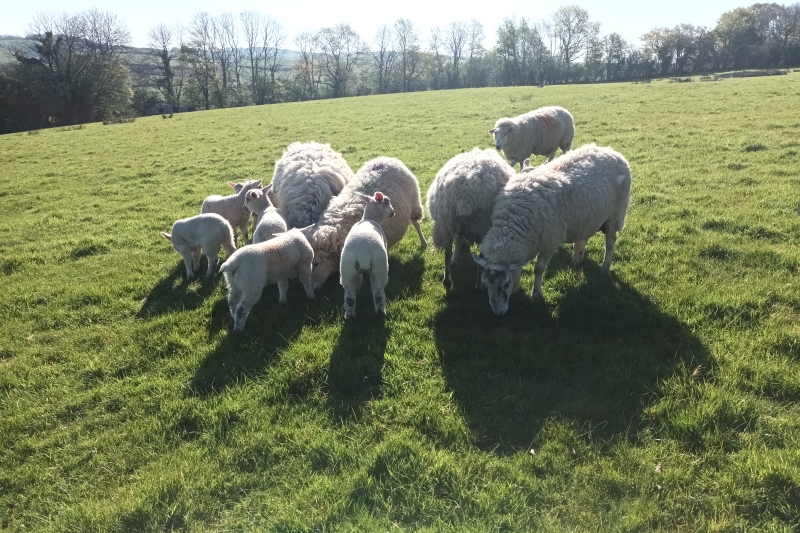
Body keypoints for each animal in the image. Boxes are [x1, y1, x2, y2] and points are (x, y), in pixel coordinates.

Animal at [302, 157, 428, 290]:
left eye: (316, 263)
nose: (311, 288)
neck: (337, 224)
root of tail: (387, 158)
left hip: (414, 203)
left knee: (416, 224)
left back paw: (423, 243)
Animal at [340, 190, 396, 318]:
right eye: (387, 202)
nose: (393, 212)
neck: (370, 218)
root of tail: (363, 252)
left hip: (347, 268)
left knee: (349, 296)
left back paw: (349, 316)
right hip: (380, 267)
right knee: (378, 293)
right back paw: (381, 313)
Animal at [424, 149, 512, 290]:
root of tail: (466, 192)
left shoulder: (460, 227)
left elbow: (459, 240)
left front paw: (455, 260)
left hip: (446, 223)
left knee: (447, 253)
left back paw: (447, 280)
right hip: (483, 226)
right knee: (481, 259)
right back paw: (478, 286)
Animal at [468, 143, 632, 314]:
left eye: (505, 284)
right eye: (485, 285)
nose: (498, 313)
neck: (514, 218)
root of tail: (611, 151)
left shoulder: (550, 242)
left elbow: (539, 269)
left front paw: (536, 294)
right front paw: (517, 287)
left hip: (615, 215)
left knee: (611, 243)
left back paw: (604, 268)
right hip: (587, 217)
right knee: (583, 239)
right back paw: (577, 260)